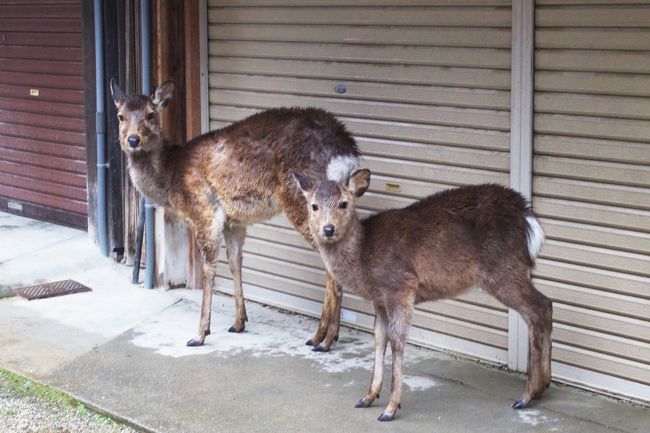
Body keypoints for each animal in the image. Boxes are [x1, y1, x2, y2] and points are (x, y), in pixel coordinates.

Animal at [109, 78, 356, 348]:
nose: (133, 140)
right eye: (120, 115)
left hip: (304, 202)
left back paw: (323, 338)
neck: (171, 178)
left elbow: (209, 269)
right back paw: (326, 335)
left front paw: (199, 334)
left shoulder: (204, 211)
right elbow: (234, 262)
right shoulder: (233, 222)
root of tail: (345, 153)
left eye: (151, 114)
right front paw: (239, 322)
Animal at [294, 170, 552, 422]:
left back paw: (527, 395)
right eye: (314, 206)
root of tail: (528, 216)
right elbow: (379, 338)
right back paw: (542, 387)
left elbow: (397, 341)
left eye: (344, 203)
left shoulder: (401, 286)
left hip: (503, 269)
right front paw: (368, 397)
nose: (328, 229)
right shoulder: (380, 300)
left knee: (538, 307)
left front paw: (390, 408)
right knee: (545, 305)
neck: (364, 258)